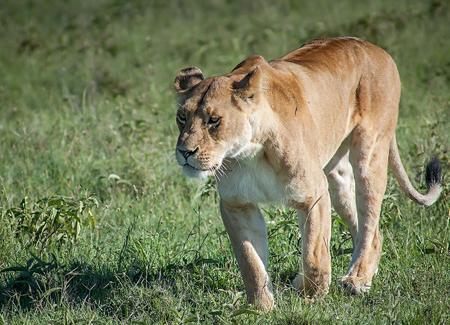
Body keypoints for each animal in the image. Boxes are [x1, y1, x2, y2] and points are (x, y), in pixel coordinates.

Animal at [173, 36, 442, 310]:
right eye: (181, 117)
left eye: (214, 120)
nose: (185, 151)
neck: (249, 153)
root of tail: (376, 48)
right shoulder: (237, 204)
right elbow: (250, 261)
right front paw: (261, 308)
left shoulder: (314, 195)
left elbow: (314, 253)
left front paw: (310, 294)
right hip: (336, 177)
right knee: (372, 231)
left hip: (370, 154)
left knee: (369, 223)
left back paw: (357, 280)